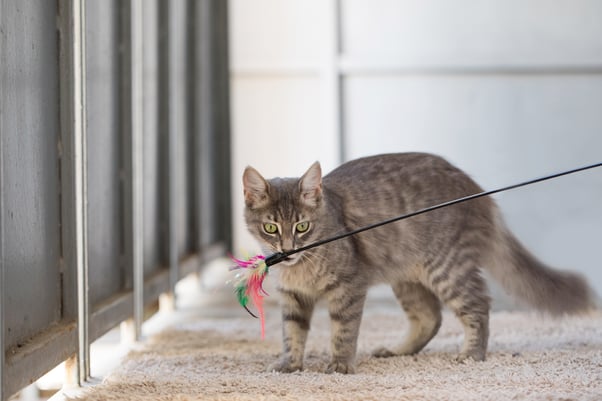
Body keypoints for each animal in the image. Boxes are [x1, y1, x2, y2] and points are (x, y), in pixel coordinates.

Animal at [239, 152, 592, 374]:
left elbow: (343, 331)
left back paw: (471, 355)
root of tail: (477, 189)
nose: (287, 250)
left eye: (302, 227)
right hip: (408, 278)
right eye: (270, 228)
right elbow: (292, 333)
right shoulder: (293, 297)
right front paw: (290, 366)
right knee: (430, 317)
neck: (299, 267)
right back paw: (398, 351)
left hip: (449, 268)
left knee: (478, 306)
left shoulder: (348, 287)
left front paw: (339, 365)